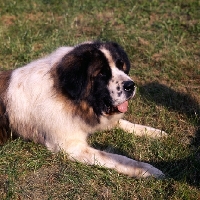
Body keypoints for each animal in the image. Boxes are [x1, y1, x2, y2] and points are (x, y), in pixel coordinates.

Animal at [0, 41, 166, 178]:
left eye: (121, 67)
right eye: (102, 73)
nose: (130, 86)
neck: (67, 94)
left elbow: (123, 123)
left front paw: (154, 132)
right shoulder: (72, 146)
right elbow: (117, 158)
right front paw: (147, 170)